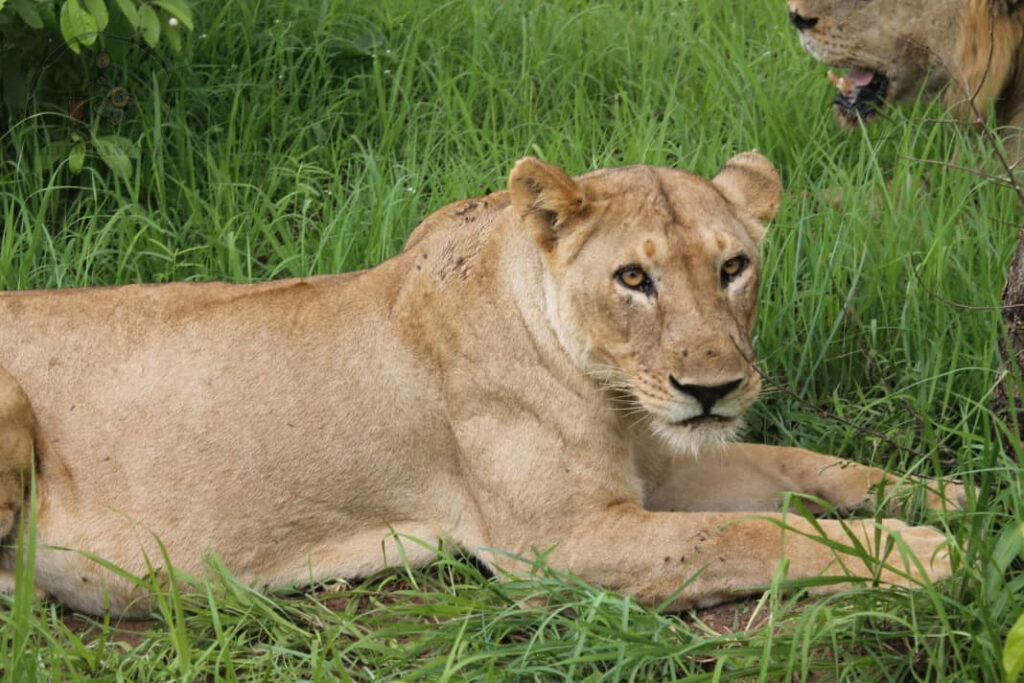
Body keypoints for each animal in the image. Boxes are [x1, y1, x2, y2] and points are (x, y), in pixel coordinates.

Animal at [0, 153, 958, 617]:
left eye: (733, 266)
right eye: (633, 278)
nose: (712, 388)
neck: (618, 394)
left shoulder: (660, 465)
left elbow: (807, 466)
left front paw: (948, 495)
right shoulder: (555, 546)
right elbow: (751, 533)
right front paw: (926, 553)